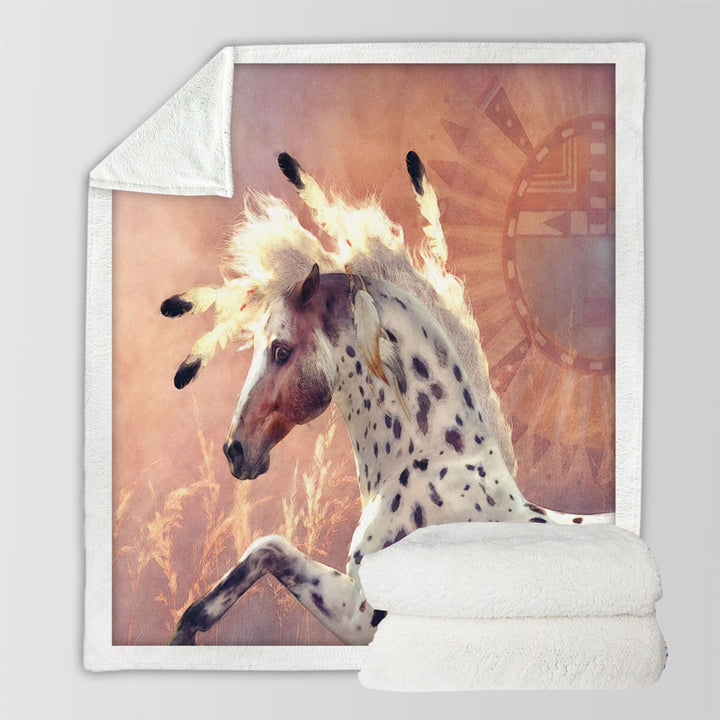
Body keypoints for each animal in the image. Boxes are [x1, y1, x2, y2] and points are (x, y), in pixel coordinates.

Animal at [160, 151, 613, 645]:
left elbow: (269, 547)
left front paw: (187, 628)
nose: (235, 450)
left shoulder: (362, 615)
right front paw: (186, 629)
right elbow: (269, 546)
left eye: (280, 350)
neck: (433, 465)